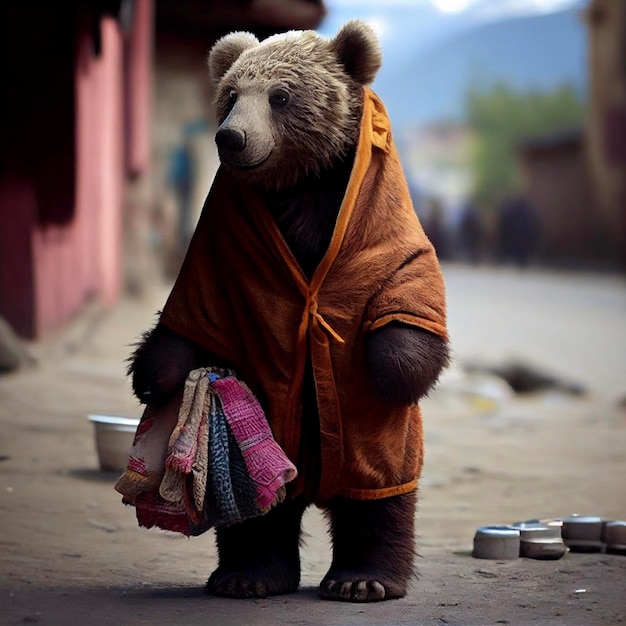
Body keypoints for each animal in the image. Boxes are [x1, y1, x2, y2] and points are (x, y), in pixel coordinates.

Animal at [129, 19, 446, 600]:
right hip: (276, 429)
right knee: (261, 511)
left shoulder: (381, 232)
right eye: (231, 95)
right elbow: (189, 322)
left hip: (372, 441)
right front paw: (154, 377)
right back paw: (248, 575)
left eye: (281, 96)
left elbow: (407, 302)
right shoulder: (220, 254)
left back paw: (363, 578)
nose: (230, 137)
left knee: (378, 497)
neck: (303, 185)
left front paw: (391, 366)